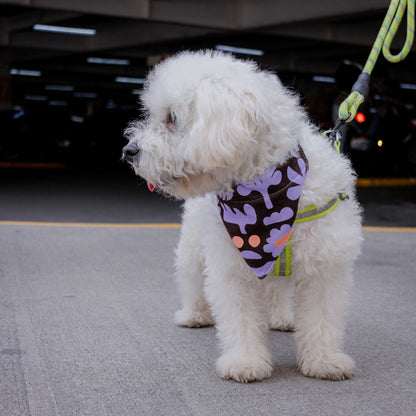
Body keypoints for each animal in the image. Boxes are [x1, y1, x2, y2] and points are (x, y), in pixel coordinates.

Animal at [122, 51, 362, 384]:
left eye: (172, 118)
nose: (129, 150)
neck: (264, 188)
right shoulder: (231, 268)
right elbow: (241, 320)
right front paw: (246, 362)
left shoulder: (325, 268)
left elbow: (322, 320)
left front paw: (324, 361)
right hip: (193, 247)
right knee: (191, 279)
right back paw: (193, 314)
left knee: (275, 289)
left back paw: (280, 317)